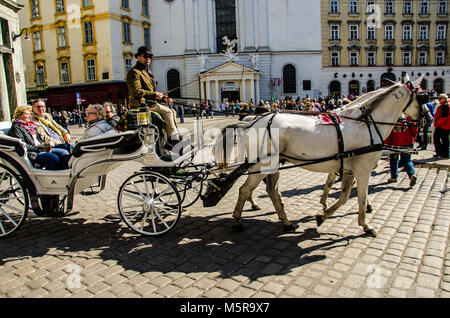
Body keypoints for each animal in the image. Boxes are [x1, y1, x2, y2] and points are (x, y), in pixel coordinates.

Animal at [213, 76, 424, 236]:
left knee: (271, 191)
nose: (423, 119)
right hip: (261, 166)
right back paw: (238, 221)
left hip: (271, 165)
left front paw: (323, 214)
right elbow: (361, 197)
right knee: (245, 190)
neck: (365, 124)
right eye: (422, 97)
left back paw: (286, 222)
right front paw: (365, 224)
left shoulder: (348, 169)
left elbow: (344, 196)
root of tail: (252, 122)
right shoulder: (363, 170)